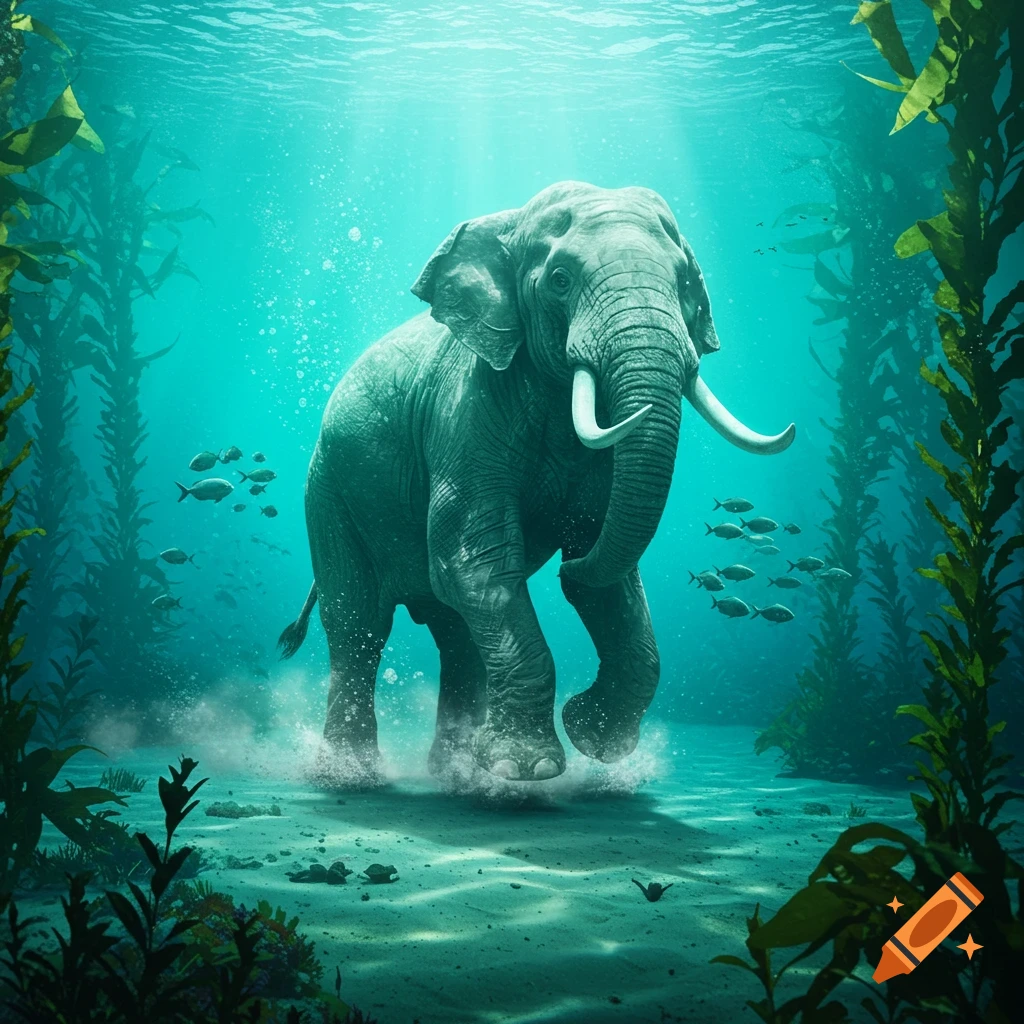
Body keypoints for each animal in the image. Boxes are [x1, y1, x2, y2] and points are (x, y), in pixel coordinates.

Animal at [279, 180, 795, 785]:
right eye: (560, 281)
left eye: (685, 282)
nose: (566, 564)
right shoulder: (467, 408)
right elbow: (473, 560)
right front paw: (529, 768)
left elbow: (606, 581)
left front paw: (594, 741)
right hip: (327, 491)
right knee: (358, 624)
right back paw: (352, 776)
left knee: (456, 634)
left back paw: (455, 773)